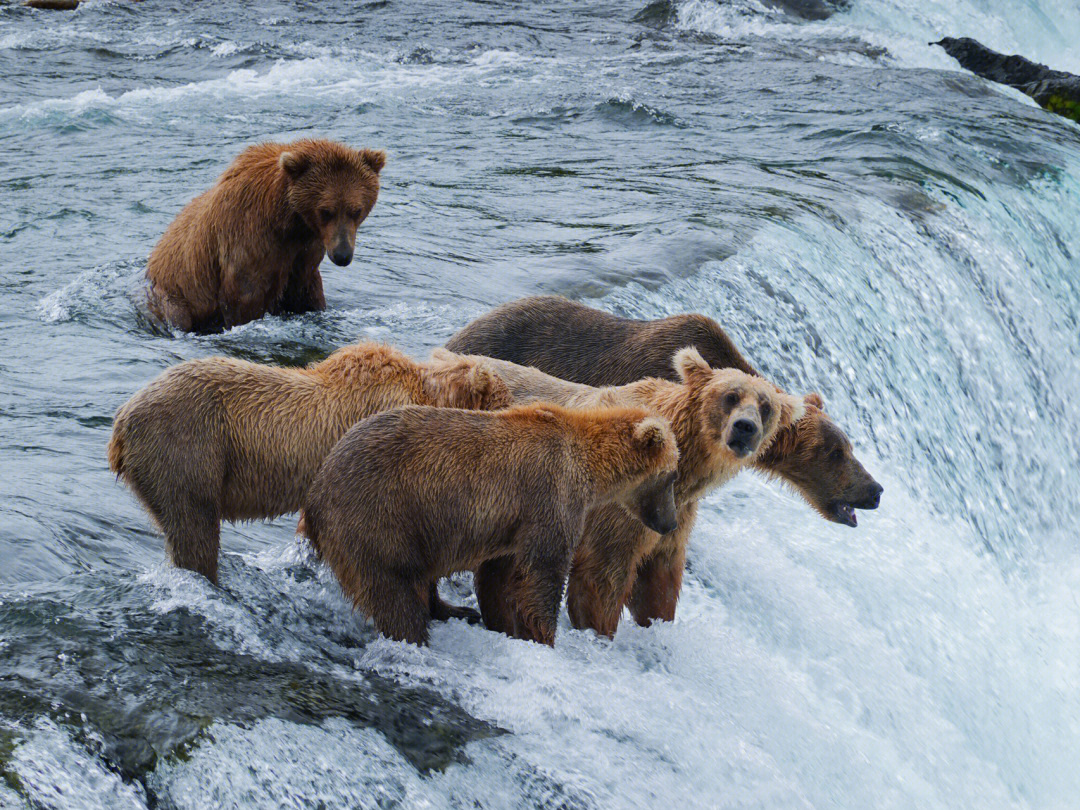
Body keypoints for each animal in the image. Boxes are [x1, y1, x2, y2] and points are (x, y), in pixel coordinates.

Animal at [141, 139, 382, 332]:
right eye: (326, 211)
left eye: (356, 210)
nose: (342, 255)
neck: (286, 221)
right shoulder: (249, 239)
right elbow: (244, 297)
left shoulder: (306, 249)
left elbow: (305, 290)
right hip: (173, 296)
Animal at [300, 401, 678, 648]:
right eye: (672, 475)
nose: (671, 523)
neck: (589, 465)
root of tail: (313, 498)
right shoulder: (550, 495)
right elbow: (543, 572)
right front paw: (545, 636)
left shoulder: (513, 526)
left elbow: (500, 576)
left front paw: (505, 625)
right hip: (379, 518)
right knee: (393, 590)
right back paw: (416, 635)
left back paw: (454, 609)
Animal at [429, 349, 803, 639]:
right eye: (730, 396)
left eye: (766, 406)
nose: (745, 428)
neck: (686, 467)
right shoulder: (620, 507)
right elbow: (604, 575)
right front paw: (601, 631)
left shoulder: (674, 515)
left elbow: (659, 579)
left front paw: (658, 624)